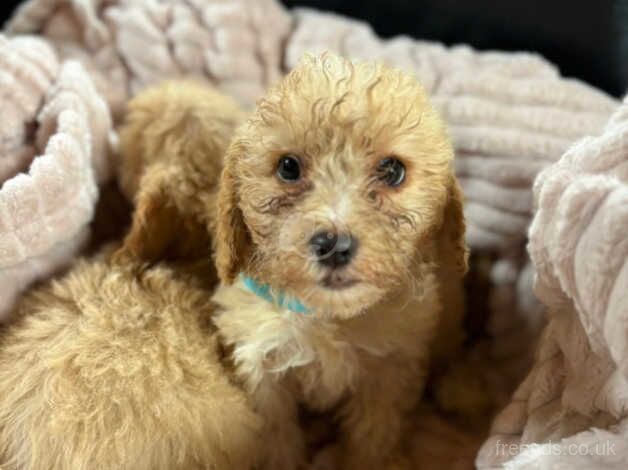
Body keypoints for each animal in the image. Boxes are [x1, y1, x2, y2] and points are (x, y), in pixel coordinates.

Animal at [213, 53, 468, 468]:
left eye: (392, 171)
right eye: (288, 167)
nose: (334, 245)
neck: (328, 317)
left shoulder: (389, 370)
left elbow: (373, 438)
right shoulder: (261, 365)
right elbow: (275, 436)